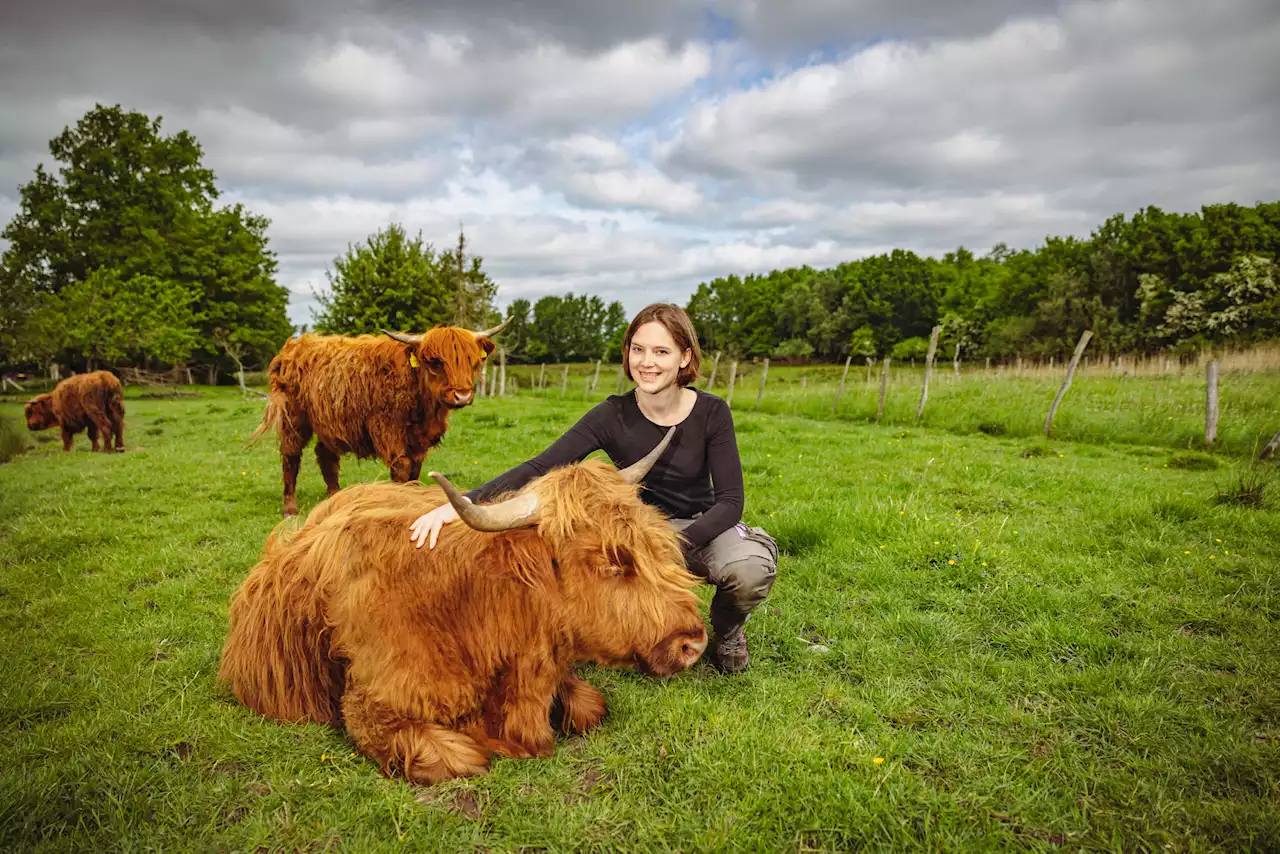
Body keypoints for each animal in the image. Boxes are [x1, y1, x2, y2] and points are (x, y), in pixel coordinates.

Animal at [213, 430, 706, 783]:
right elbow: (460, 758)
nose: (693, 643)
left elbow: (591, 705)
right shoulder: (368, 706)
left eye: (655, 542)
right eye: (612, 559)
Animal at [247, 323, 506, 517]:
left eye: (473, 361)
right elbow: (402, 469)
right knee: (291, 456)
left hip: (329, 422)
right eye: (435, 362)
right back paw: (290, 509)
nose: (462, 395)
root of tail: (293, 347)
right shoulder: (388, 431)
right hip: (293, 417)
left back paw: (335, 498)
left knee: (325, 455)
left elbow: (415, 471)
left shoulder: (419, 441)